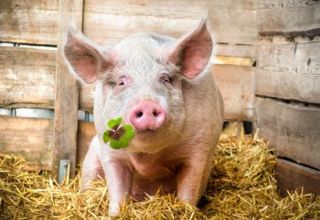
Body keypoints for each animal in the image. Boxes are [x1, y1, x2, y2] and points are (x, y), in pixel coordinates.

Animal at [62, 19, 222, 217]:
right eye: (122, 81)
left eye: (165, 79)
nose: (147, 104)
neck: (148, 157)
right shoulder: (110, 152)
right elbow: (117, 188)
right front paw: (115, 214)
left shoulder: (199, 148)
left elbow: (189, 189)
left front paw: (184, 211)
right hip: (91, 154)